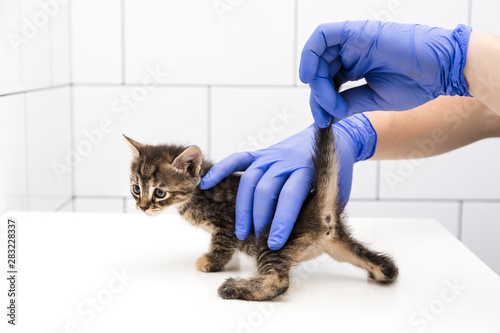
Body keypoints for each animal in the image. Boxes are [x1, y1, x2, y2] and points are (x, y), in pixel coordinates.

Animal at [125, 125, 398, 300]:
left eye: (160, 192)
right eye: (136, 189)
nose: (142, 207)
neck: (196, 192)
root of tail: (321, 209)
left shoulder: (228, 224)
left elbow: (221, 245)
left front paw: (211, 262)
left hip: (269, 238)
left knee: (279, 281)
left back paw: (235, 288)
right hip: (337, 244)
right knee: (386, 266)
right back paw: (381, 271)